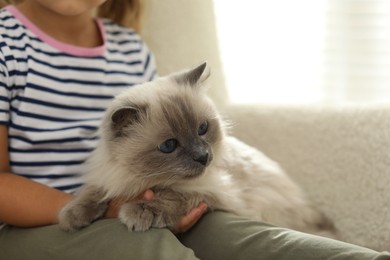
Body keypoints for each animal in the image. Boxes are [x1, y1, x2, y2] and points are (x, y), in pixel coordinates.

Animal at [59, 62, 336, 236]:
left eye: (202, 128)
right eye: (169, 146)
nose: (204, 157)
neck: (141, 180)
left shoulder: (211, 191)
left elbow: (173, 195)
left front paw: (138, 212)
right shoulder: (110, 177)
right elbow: (92, 192)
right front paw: (72, 217)